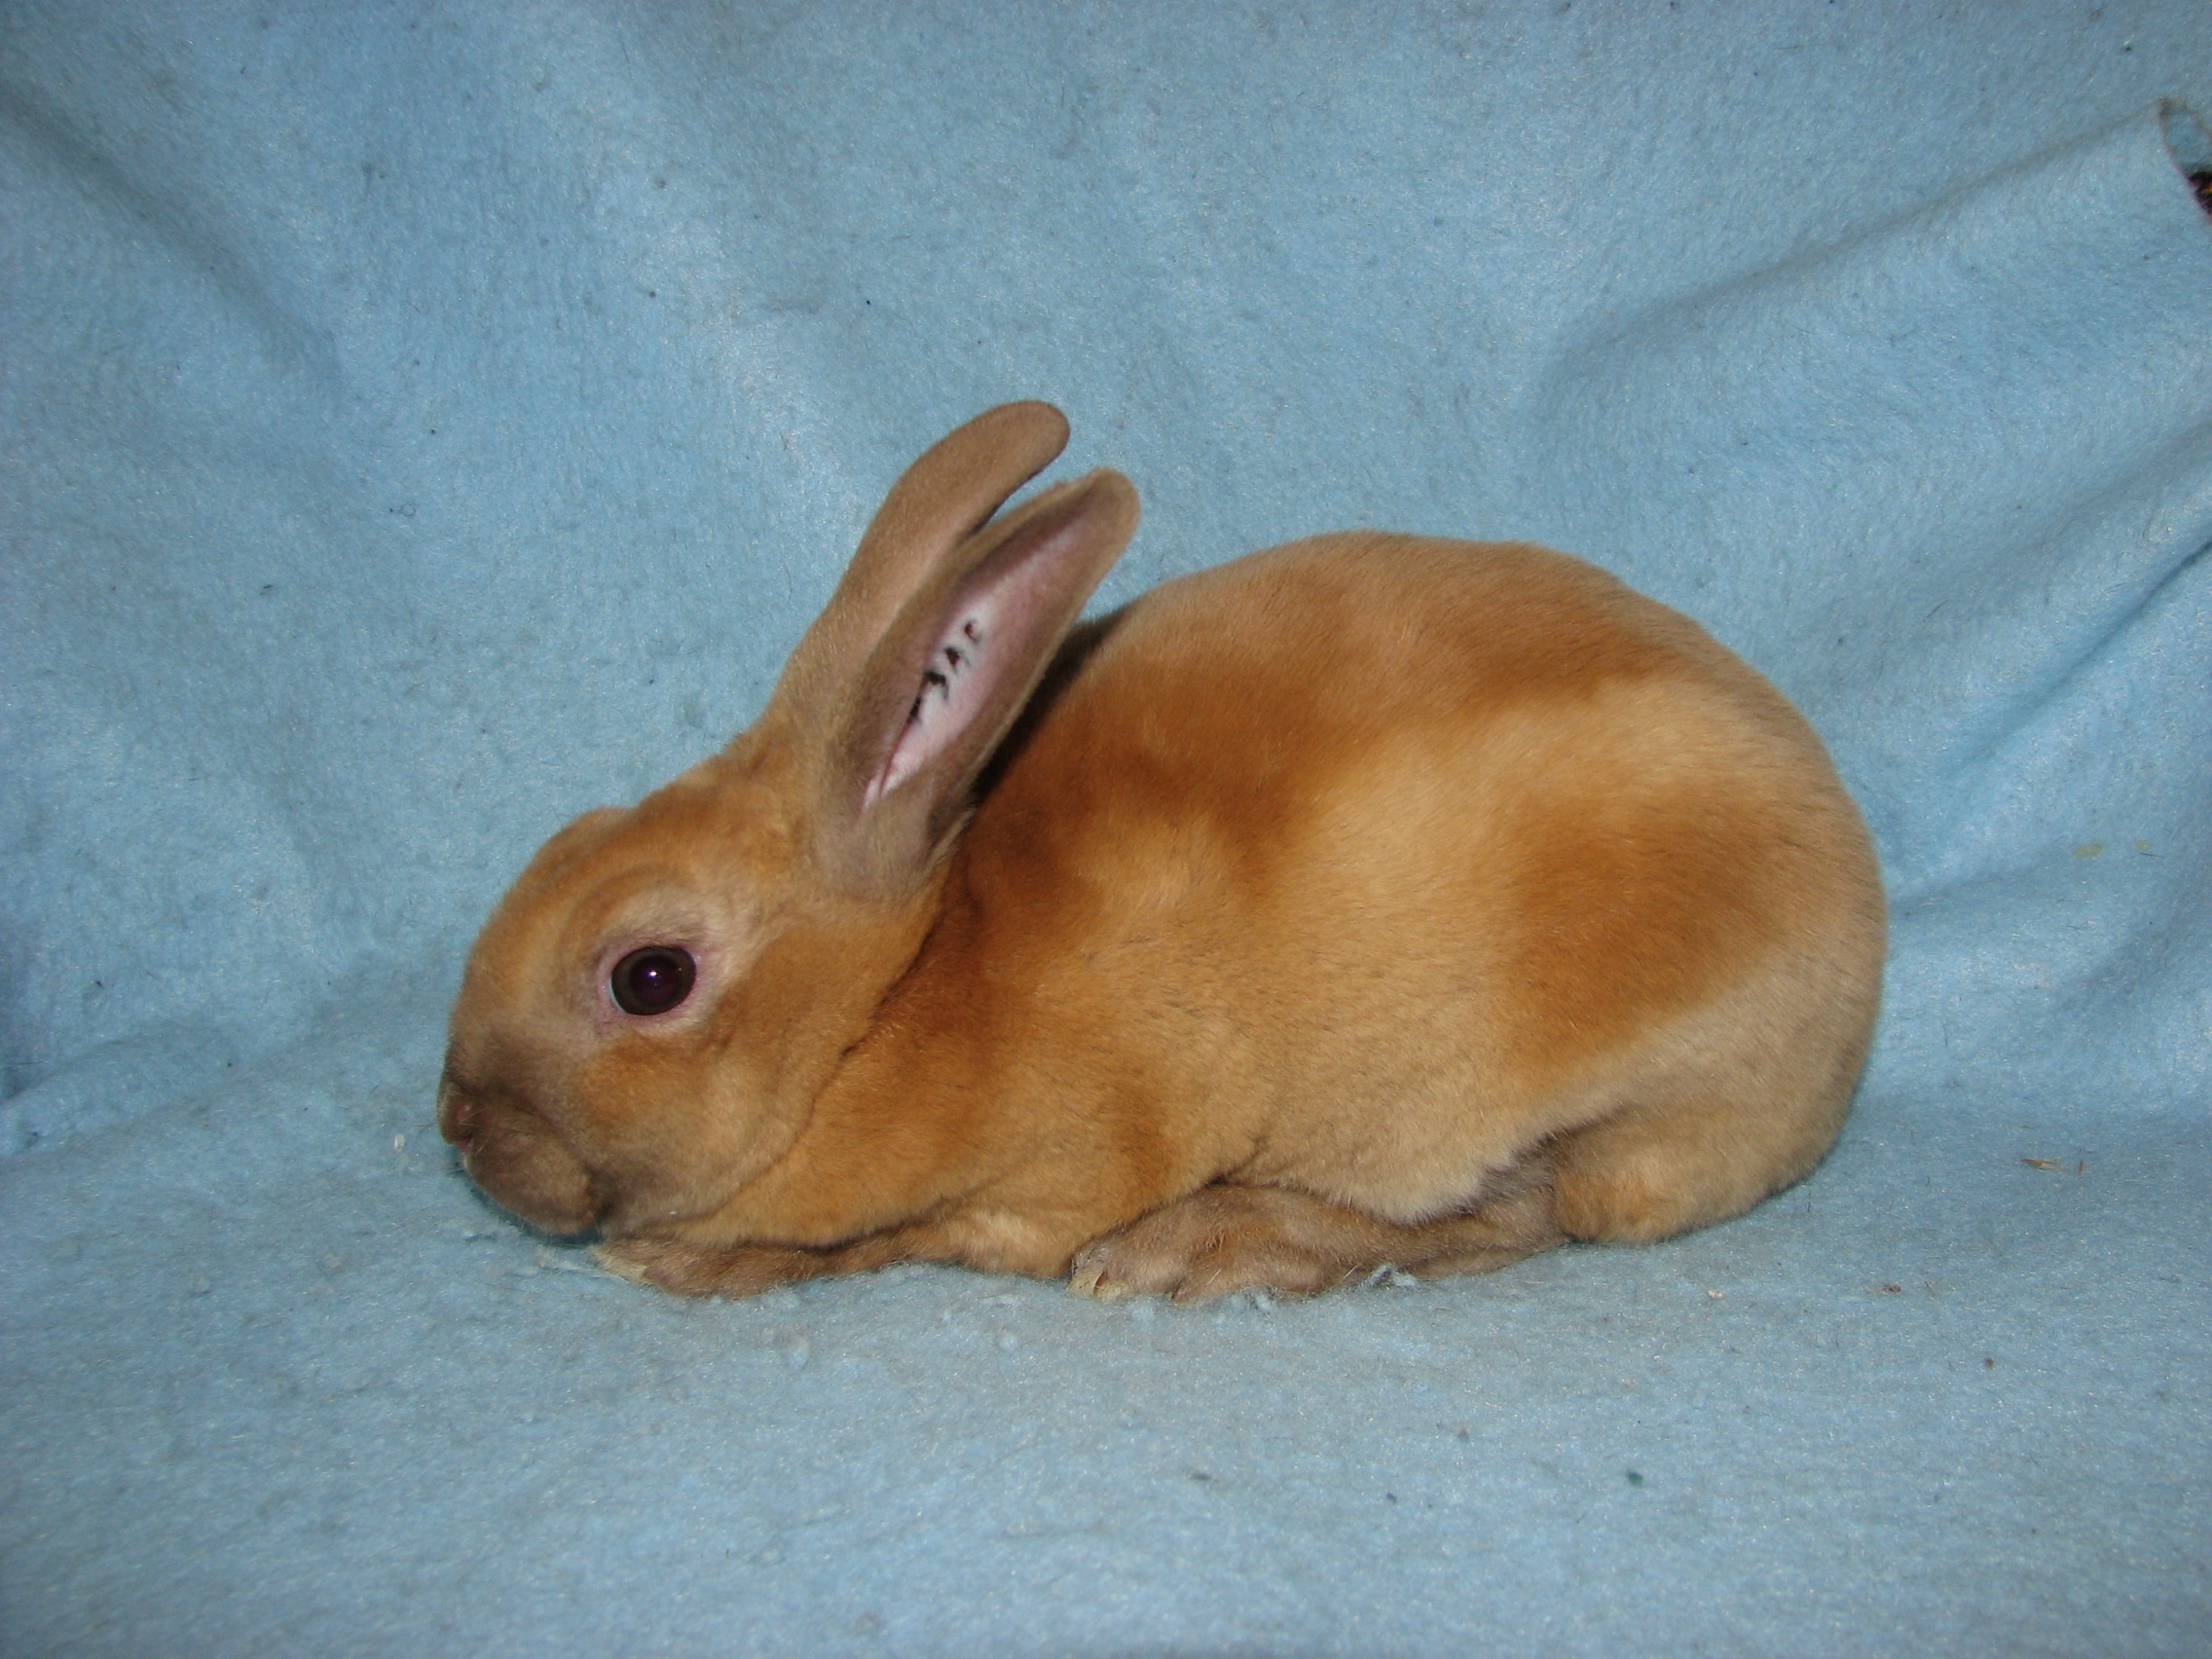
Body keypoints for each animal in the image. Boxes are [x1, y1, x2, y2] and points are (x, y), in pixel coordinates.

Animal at [438, 401, 1885, 1302]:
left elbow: (890, 1242)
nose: (460, 1129)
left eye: (648, 979)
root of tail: (1853, 1013)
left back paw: (1208, 1247)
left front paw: (685, 1266)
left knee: (1514, 1216)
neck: (895, 994)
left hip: (1539, 1091)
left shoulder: (1047, 1179)